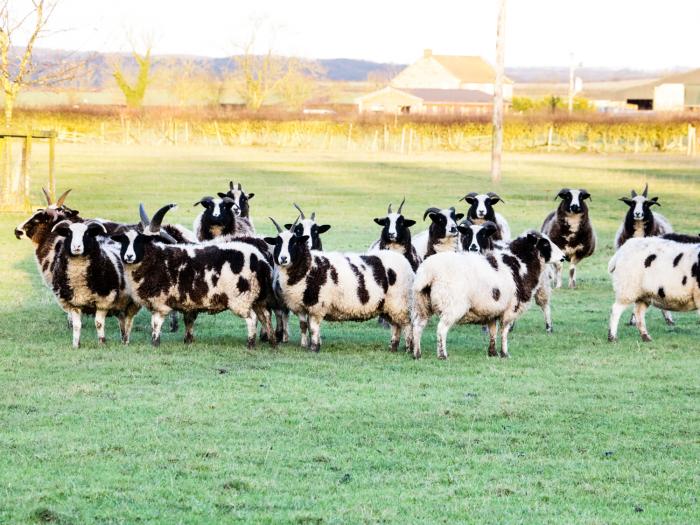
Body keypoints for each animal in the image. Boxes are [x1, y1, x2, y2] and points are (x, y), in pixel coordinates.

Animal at [110, 205, 274, 348]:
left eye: (142, 241)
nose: (129, 256)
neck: (156, 257)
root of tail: (260, 258)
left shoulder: (160, 303)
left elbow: (156, 323)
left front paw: (155, 343)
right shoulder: (187, 302)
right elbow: (188, 320)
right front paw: (187, 340)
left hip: (242, 299)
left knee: (252, 318)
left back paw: (251, 343)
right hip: (257, 298)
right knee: (265, 316)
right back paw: (271, 340)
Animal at [264, 217, 416, 352]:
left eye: (294, 242)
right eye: (277, 243)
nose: (283, 258)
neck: (306, 265)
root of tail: (405, 262)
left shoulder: (317, 306)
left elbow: (313, 328)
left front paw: (314, 347)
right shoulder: (300, 305)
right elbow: (303, 326)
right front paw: (303, 345)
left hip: (401, 303)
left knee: (407, 325)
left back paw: (408, 348)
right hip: (389, 306)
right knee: (396, 326)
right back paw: (393, 347)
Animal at [412, 230, 568, 358]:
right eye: (545, 243)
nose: (564, 257)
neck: (521, 263)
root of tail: (429, 272)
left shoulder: (492, 310)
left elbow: (493, 331)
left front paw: (492, 353)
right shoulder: (510, 309)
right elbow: (504, 332)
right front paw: (505, 353)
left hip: (422, 304)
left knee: (418, 327)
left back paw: (417, 354)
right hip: (451, 306)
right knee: (441, 329)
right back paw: (442, 355)